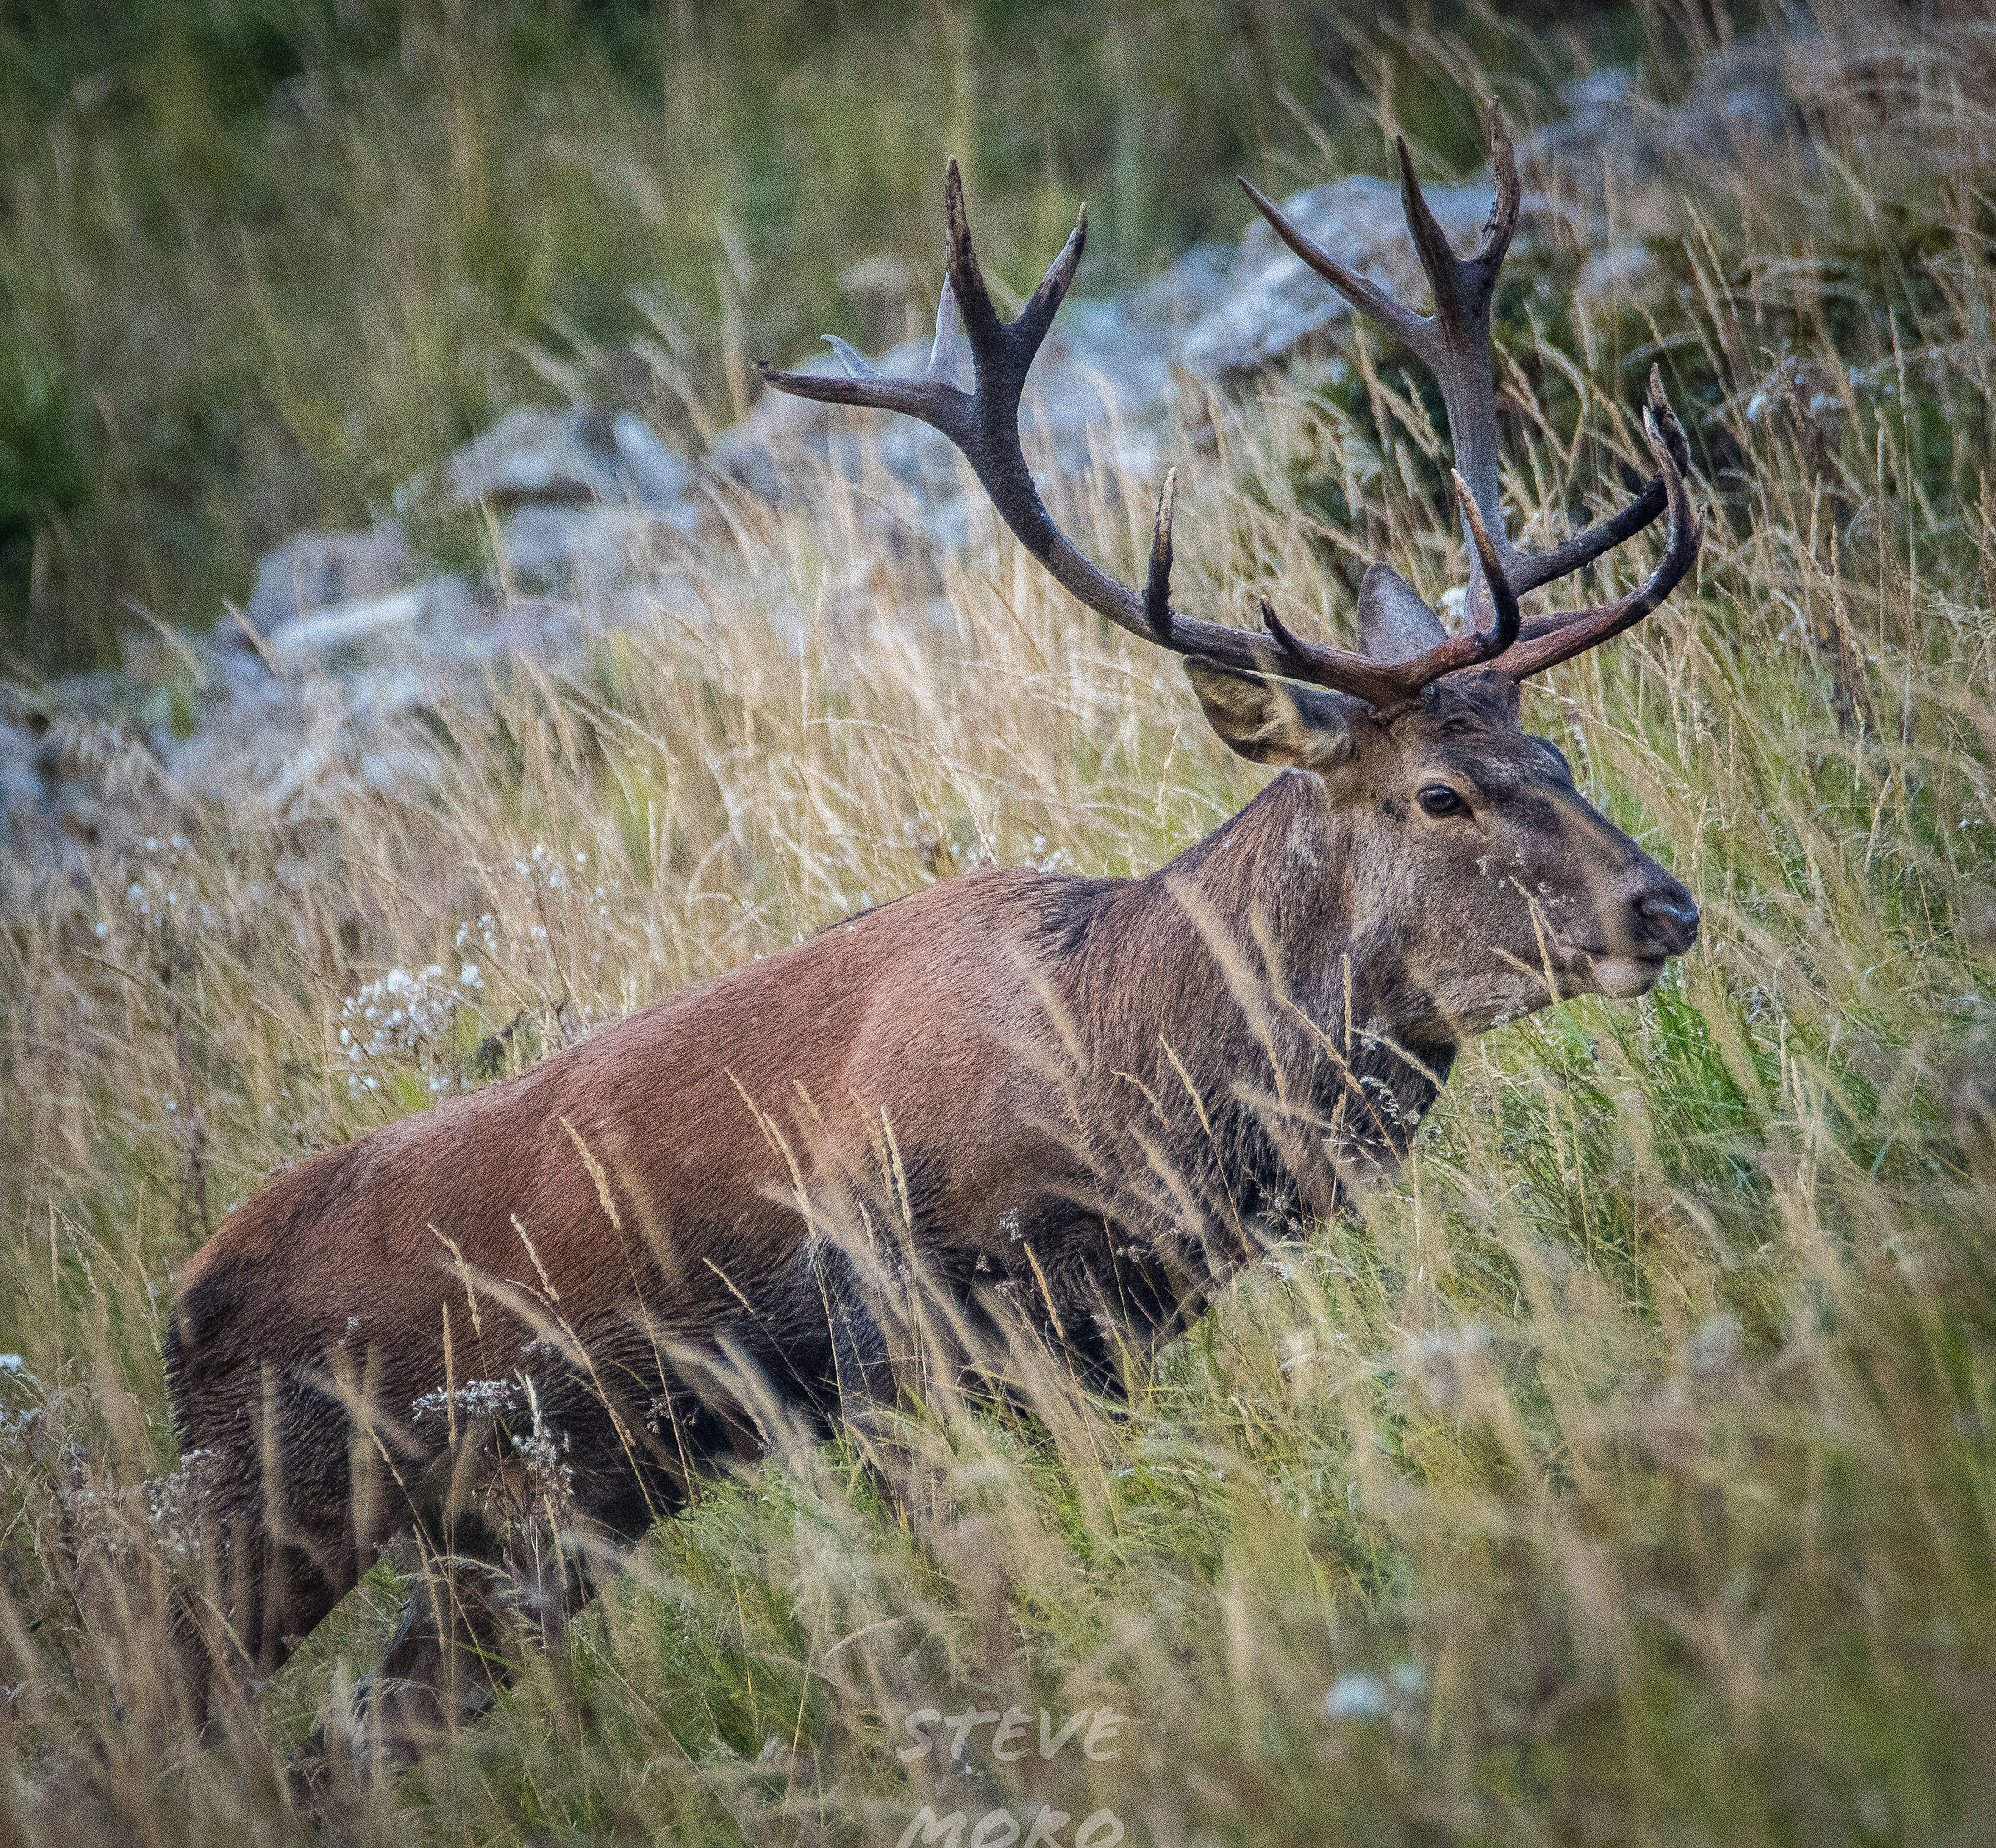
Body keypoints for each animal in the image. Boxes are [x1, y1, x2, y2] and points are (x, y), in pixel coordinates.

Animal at [165, 106, 1701, 1767]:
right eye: (1439, 792)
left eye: (1560, 754)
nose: (1663, 903)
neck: (1125, 1071)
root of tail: (178, 1309)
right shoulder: (898, 1342)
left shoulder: (1109, 1341)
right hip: (270, 1506)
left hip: (524, 1524)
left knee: (363, 1737)